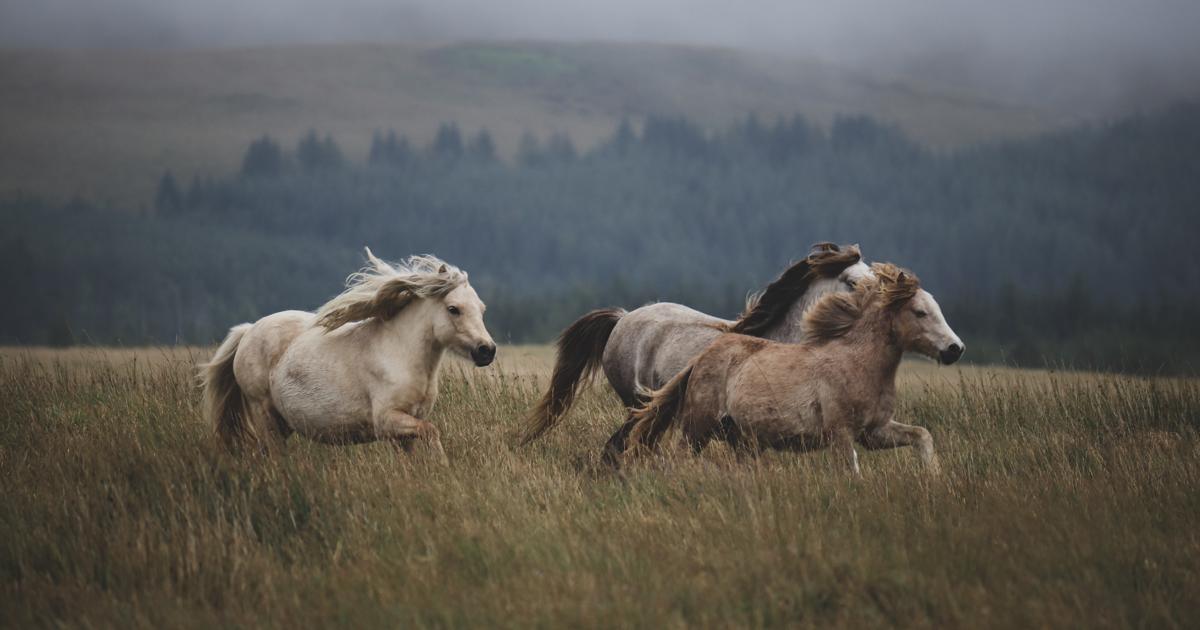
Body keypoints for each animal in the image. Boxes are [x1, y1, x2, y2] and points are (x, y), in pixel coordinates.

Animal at [201, 250, 496, 460]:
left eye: (482, 309)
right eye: (453, 309)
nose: (487, 350)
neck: (401, 354)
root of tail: (248, 331)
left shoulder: (405, 428)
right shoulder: (387, 421)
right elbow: (432, 432)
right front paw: (443, 465)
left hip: (281, 423)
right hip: (264, 413)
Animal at [619, 262, 964, 475]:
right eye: (919, 312)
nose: (955, 349)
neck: (858, 363)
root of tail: (701, 358)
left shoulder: (875, 432)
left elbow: (922, 435)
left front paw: (933, 477)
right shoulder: (840, 433)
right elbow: (852, 471)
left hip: (742, 440)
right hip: (697, 427)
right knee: (678, 456)